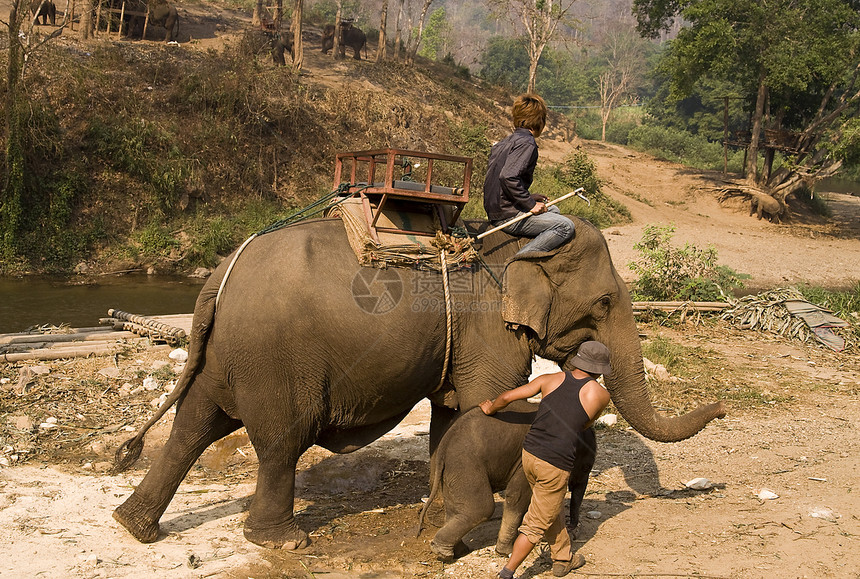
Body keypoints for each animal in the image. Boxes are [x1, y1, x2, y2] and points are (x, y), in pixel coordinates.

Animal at [418, 402, 536, 560]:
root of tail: (443, 445)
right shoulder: (527, 458)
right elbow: (517, 494)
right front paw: (506, 552)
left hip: (451, 472)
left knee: (454, 510)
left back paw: (458, 551)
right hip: (465, 466)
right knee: (481, 509)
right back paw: (443, 552)